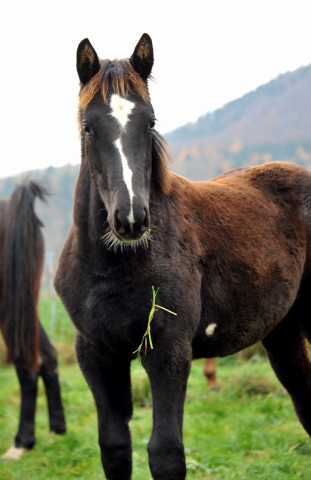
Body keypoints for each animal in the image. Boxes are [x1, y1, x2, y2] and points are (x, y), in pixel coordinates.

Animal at [54, 31, 311, 478]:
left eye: (151, 122)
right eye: (88, 126)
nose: (131, 219)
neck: (113, 267)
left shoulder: (168, 349)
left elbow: (166, 453)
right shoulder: (96, 353)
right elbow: (114, 448)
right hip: (284, 332)